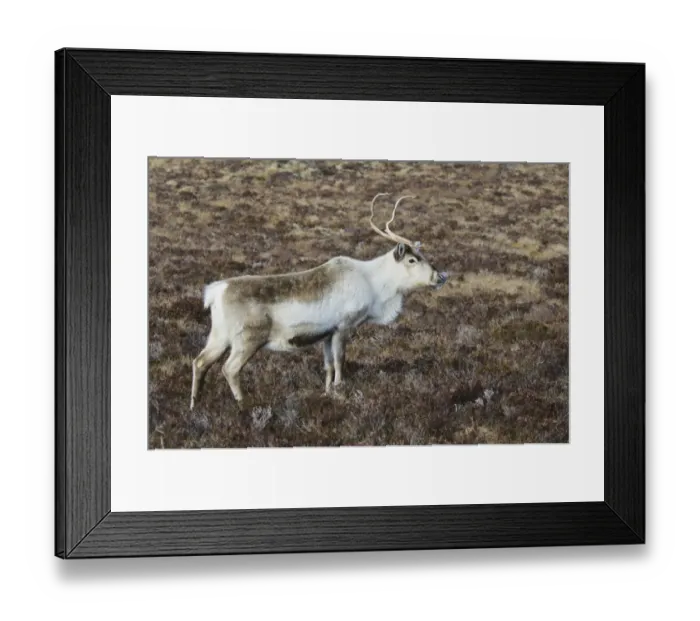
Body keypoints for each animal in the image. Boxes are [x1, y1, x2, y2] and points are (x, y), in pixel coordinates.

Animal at [190, 193, 448, 410]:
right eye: (413, 259)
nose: (440, 277)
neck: (373, 283)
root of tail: (215, 291)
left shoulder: (326, 334)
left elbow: (328, 366)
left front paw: (327, 392)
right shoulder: (344, 326)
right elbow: (341, 361)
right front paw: (340, 389)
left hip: (219, 336)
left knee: (200, 362)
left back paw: (195, 405)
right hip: (247, 340)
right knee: (229, 369)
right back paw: (244, 405)